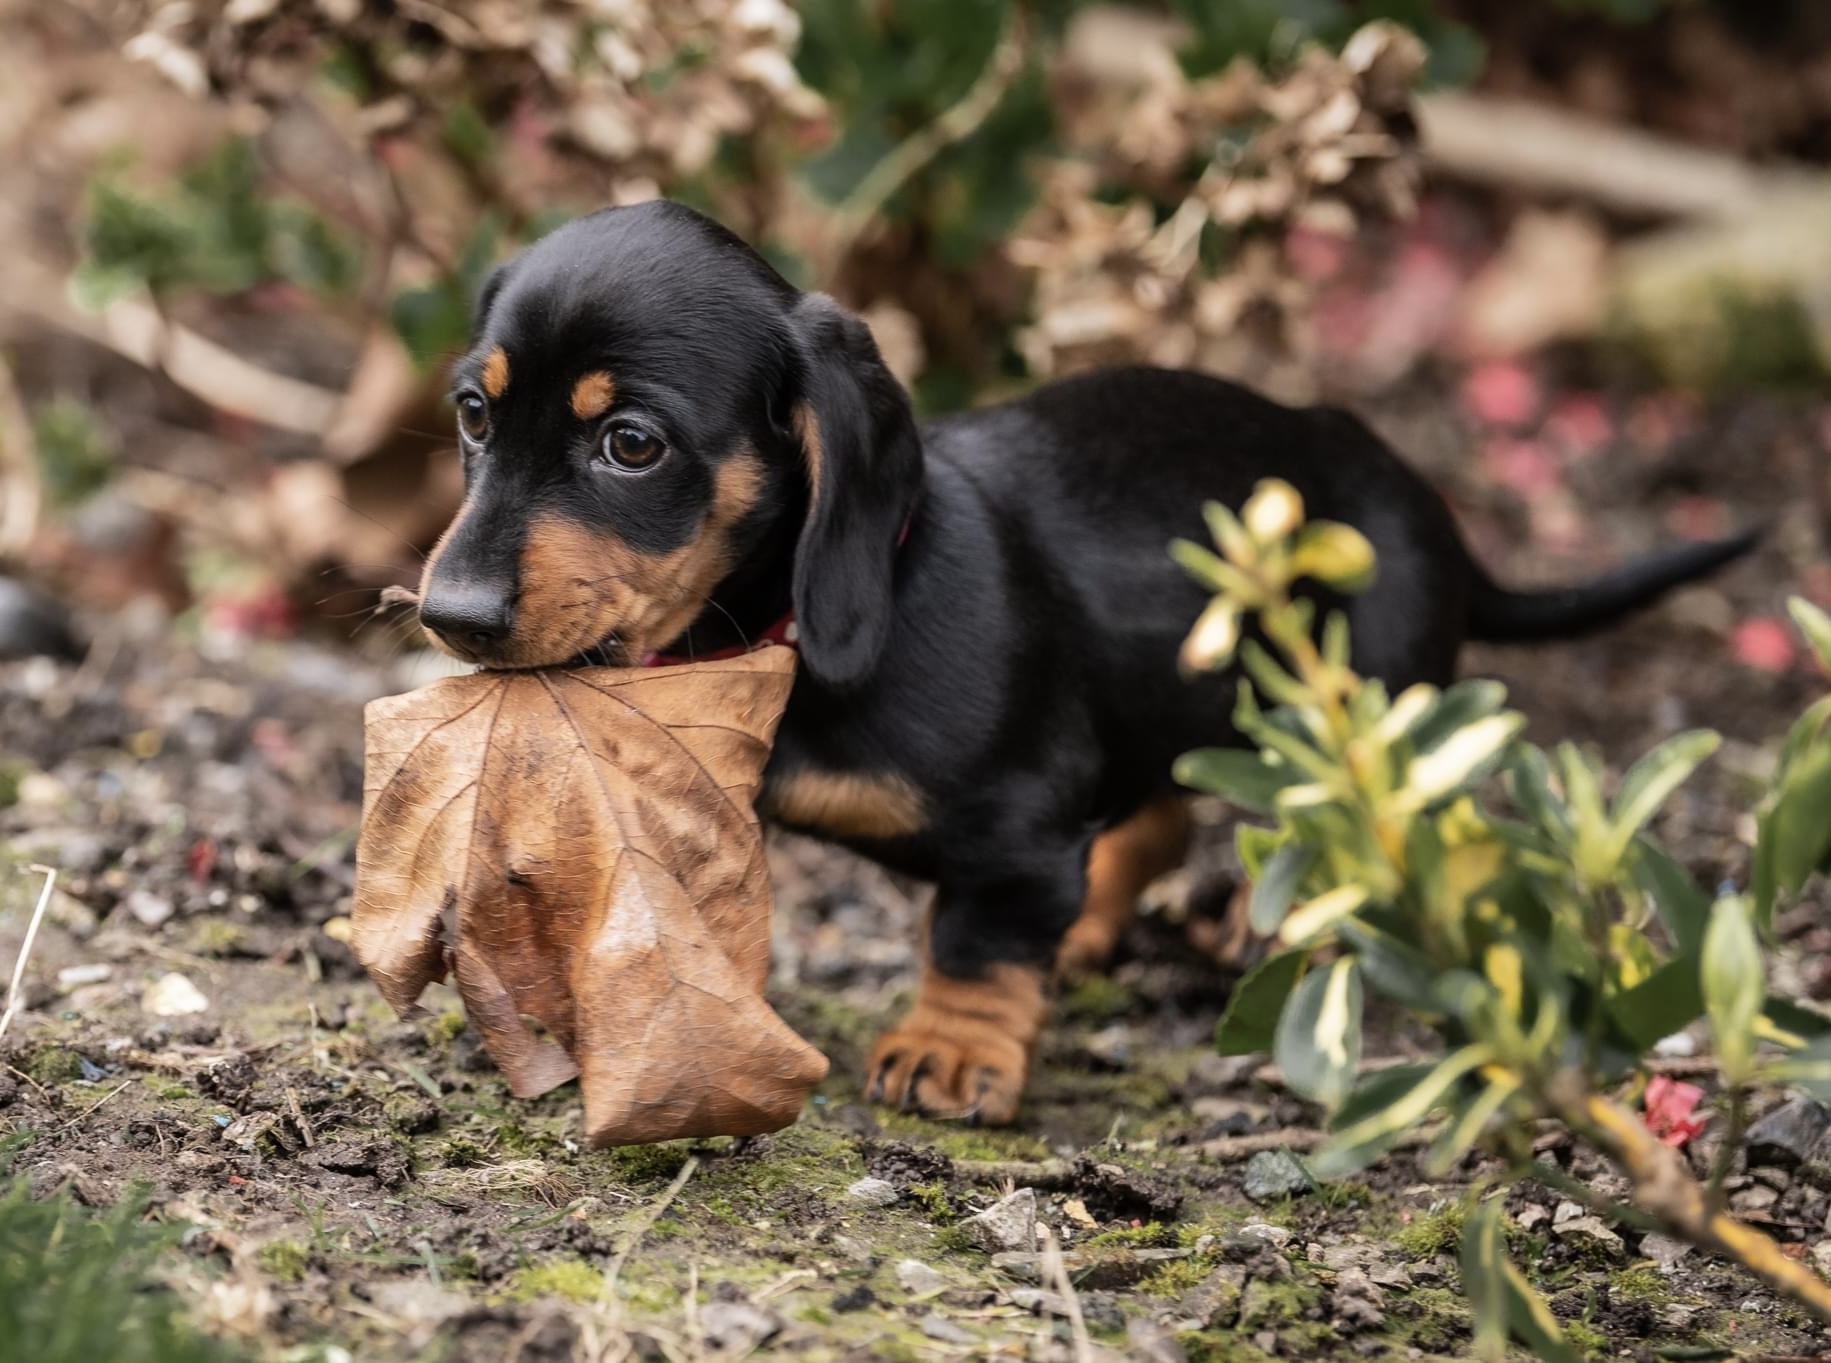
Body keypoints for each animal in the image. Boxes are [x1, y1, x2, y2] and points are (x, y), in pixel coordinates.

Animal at [415, 199, 1757, 1121]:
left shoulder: (1015, 827)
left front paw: (952, 1048)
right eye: (473, 414)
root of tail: (1431, 518)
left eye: (631, 443)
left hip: (1359, 726)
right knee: (1155, 815)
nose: (449, 614)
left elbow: (978, 937)